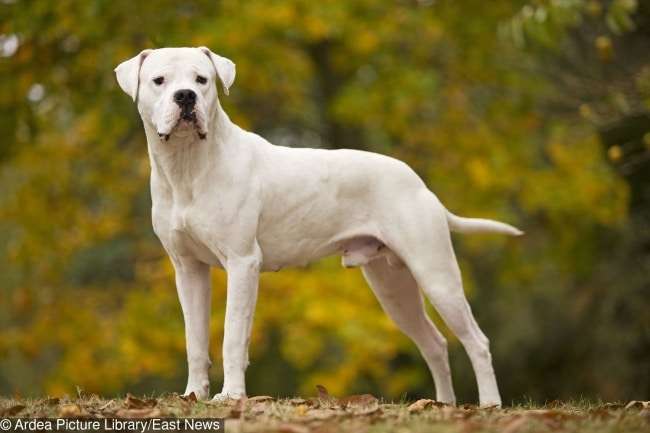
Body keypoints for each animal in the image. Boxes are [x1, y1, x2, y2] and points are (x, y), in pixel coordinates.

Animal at [115, 46, 520, 404]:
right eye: (159, 81)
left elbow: (232, 335)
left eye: (202, 80)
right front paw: (193, 395)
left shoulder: (243, 263)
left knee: (477, 342)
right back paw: (443, 405)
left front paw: (230, 396)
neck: (188, 166)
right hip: (393, 287)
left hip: (435, 273)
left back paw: (489, 404)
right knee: (434, 343)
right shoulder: (188, 269)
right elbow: (194, 339)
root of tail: (420, 184)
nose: (185, 96)